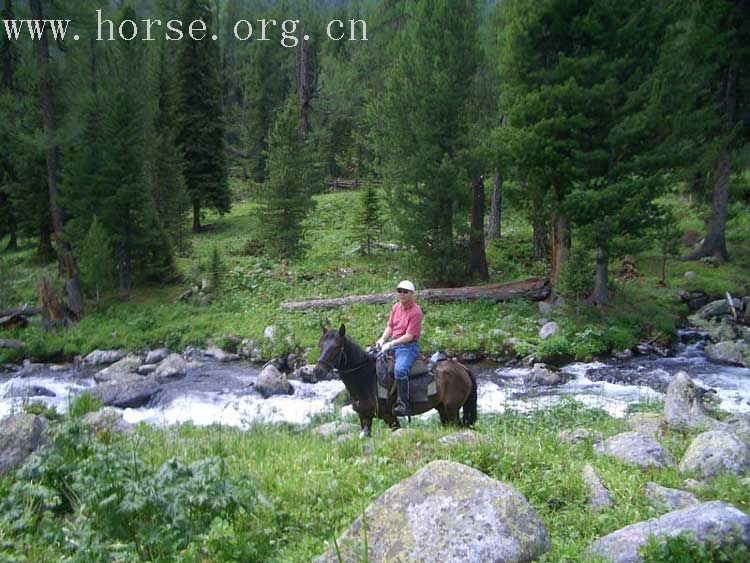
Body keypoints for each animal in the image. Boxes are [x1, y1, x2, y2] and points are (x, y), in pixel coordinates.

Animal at [314, 324, 478, 438]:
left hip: (452, 410)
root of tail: (462, 368)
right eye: (320, 345)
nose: (318, 371)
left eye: (336, 347)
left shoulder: (390, 417)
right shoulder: (364, 417)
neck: (366, 379)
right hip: (442, 409)